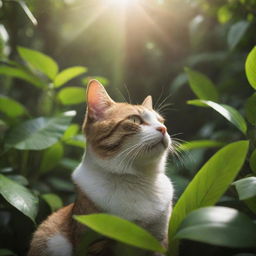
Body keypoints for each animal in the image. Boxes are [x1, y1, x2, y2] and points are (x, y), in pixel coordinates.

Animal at [29, 80, 175, 256]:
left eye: (161, 121)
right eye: (135, 120)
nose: (163, 129)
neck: (136, 179)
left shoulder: (159, 241)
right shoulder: (95, 241)